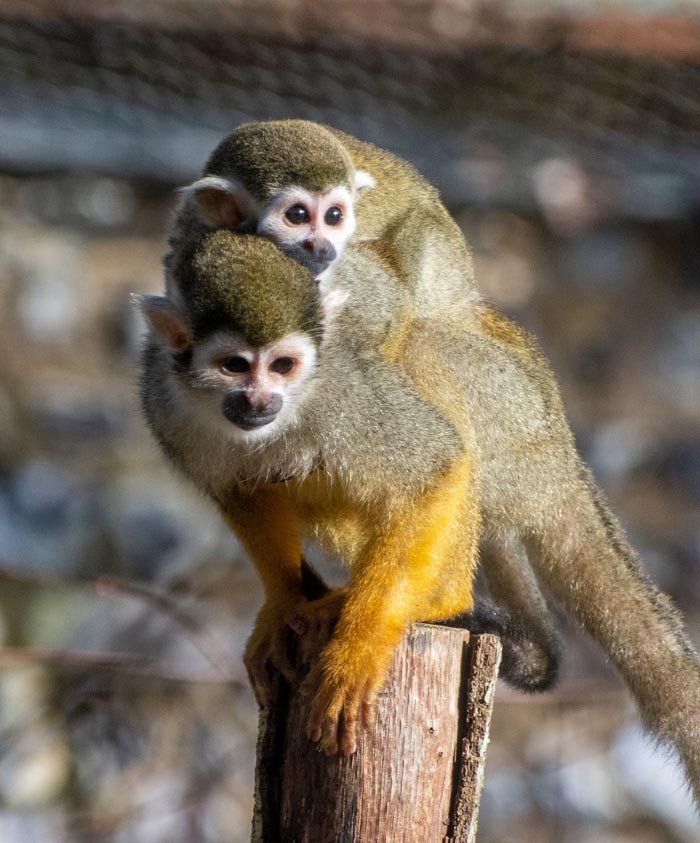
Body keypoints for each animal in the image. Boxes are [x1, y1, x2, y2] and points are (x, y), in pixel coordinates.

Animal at [140, 227, 700, 806]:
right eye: (234, 365)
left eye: (282, 366)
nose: (259, 400)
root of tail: (563, 455)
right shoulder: (163, 400)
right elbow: (237, 490)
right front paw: (283, 602)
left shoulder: (343, 391)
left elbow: (436, 464)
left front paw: (361, 646)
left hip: (514, 422)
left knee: (422, 354)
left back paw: (438, 600)